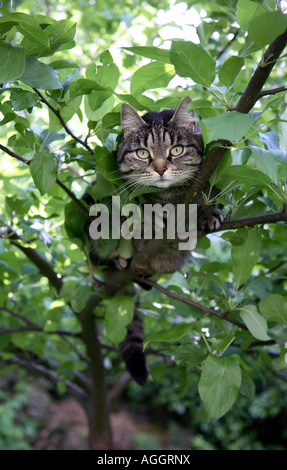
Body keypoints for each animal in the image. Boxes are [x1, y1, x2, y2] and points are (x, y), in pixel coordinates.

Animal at [86, 96, 224, 386]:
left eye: (177, 149)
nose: (160, 168)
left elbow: (203, 197)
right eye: (142, 153)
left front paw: (206, 214)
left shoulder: (209, 178)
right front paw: (157, 216)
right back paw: (120, 260)